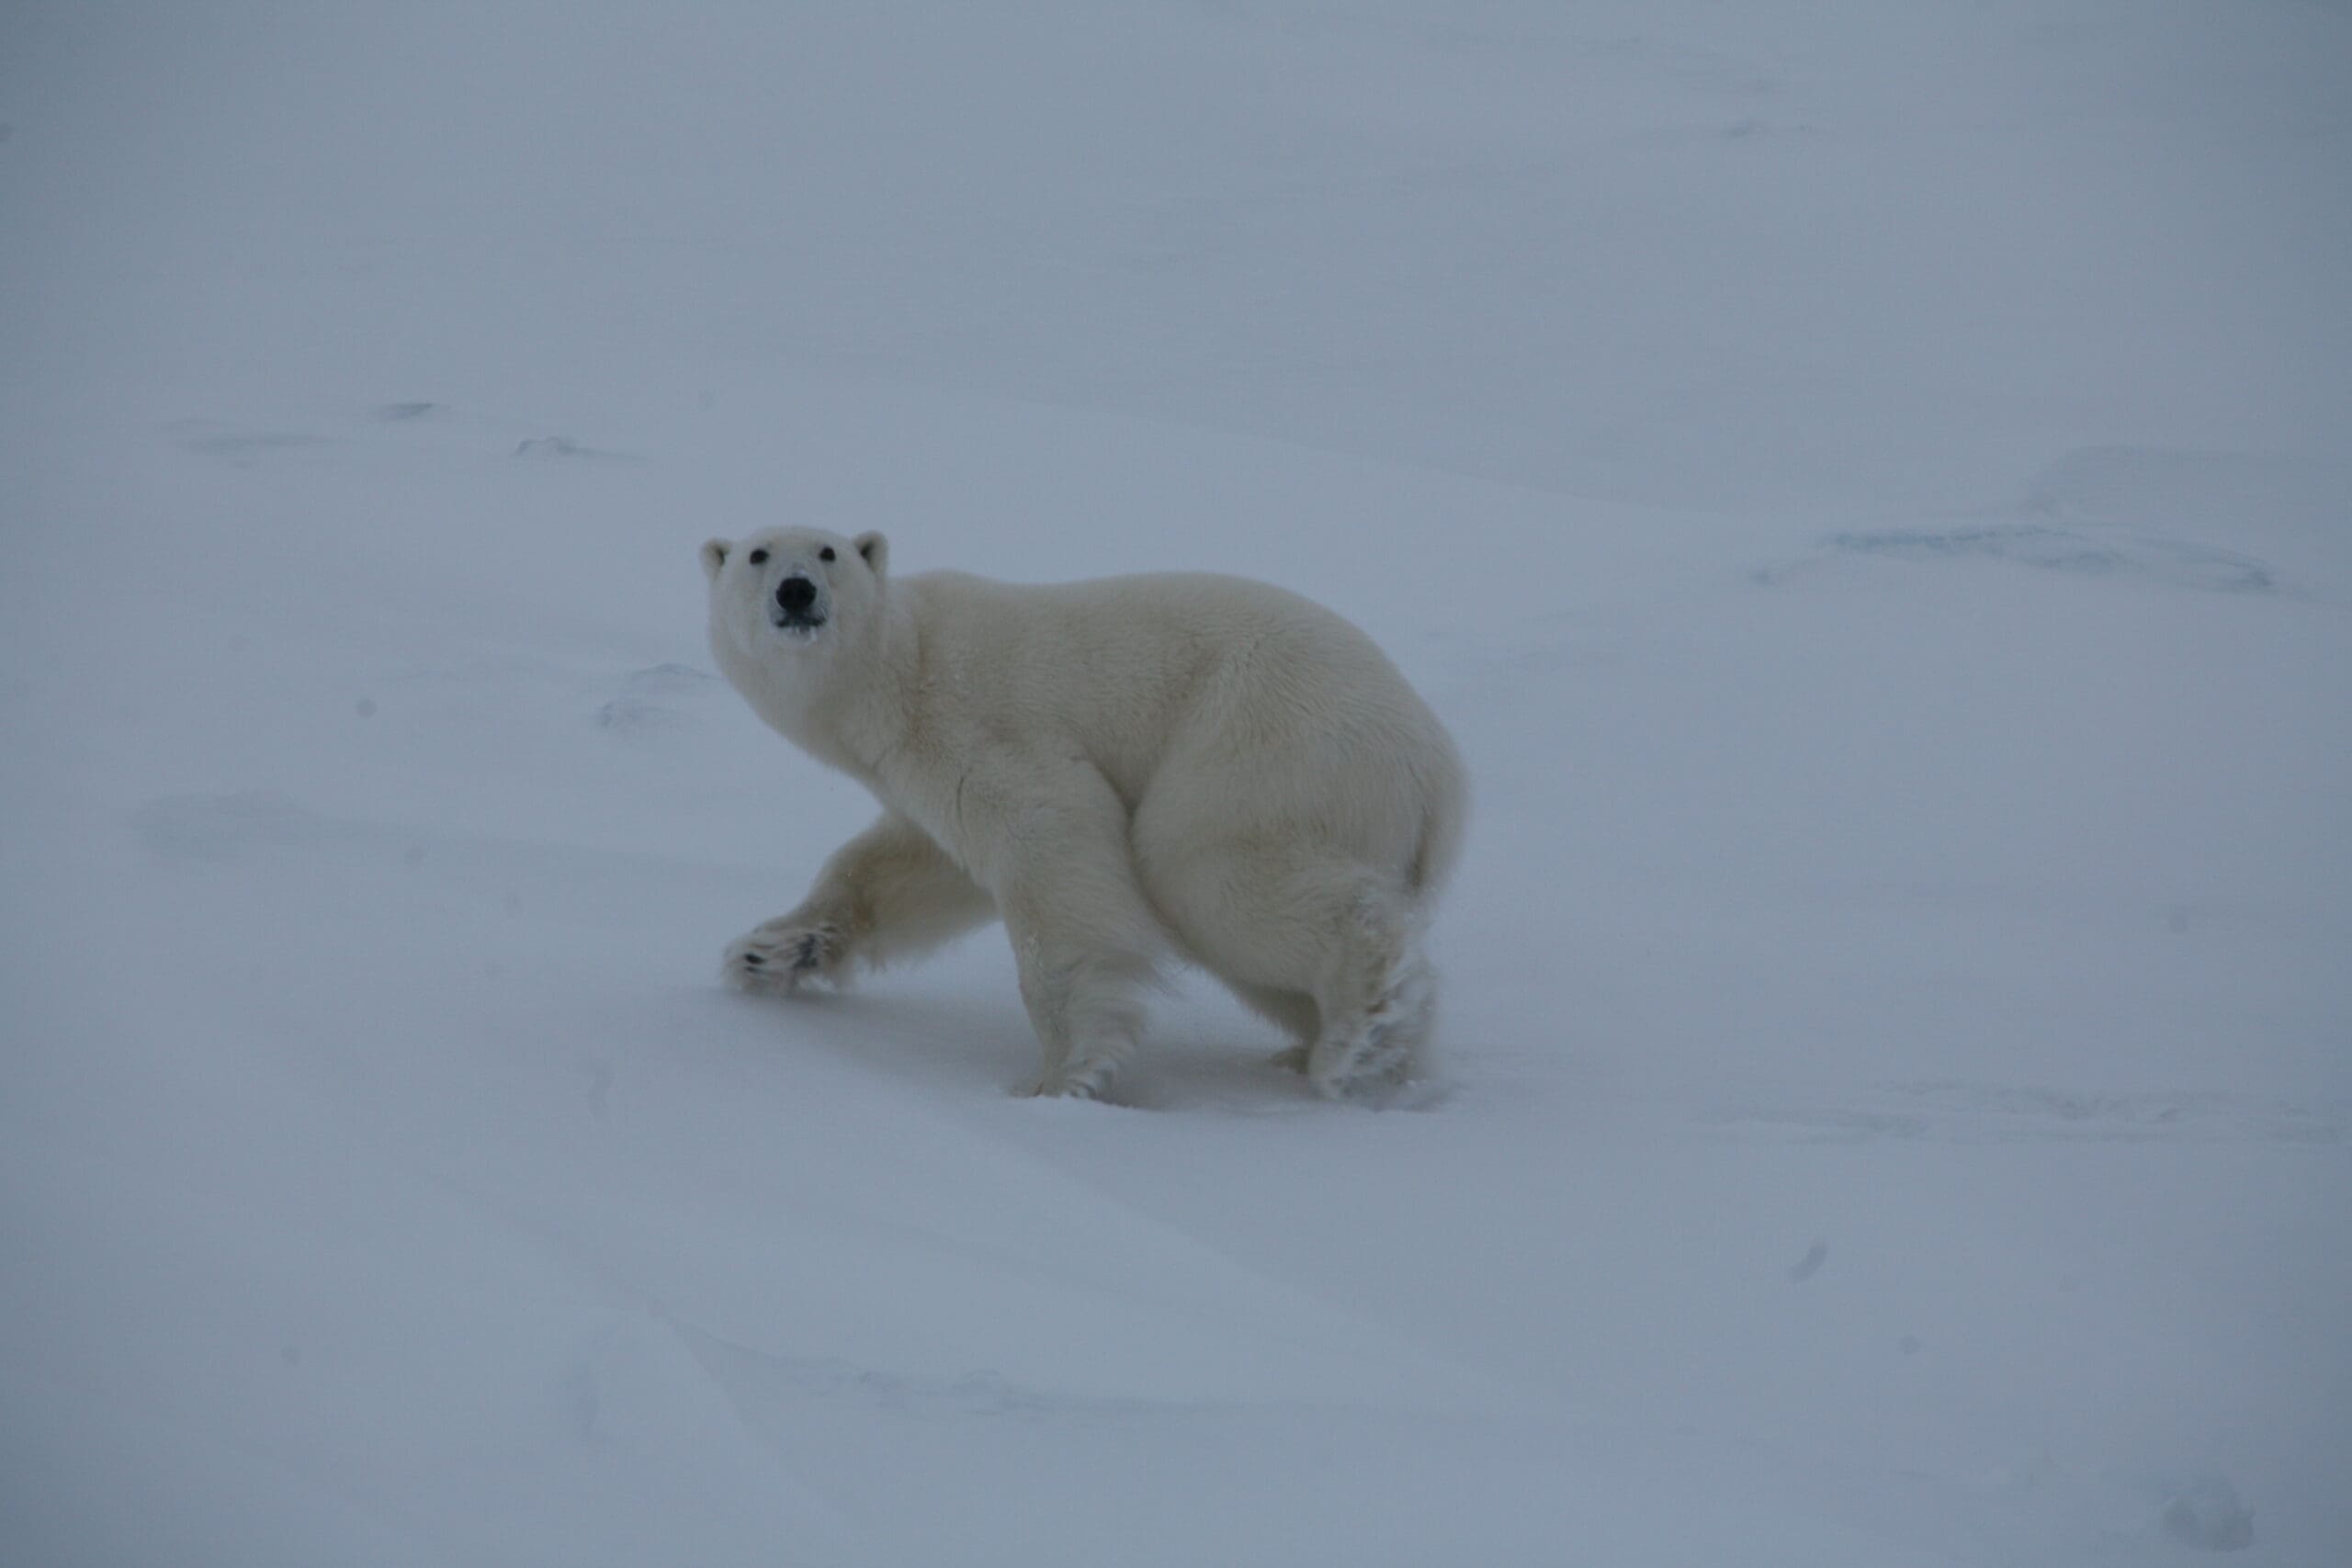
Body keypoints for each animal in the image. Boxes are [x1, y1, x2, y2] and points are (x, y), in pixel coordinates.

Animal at [700, 527, 1466, 1102]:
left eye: (827, 550)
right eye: (757, 554)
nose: (796, 591)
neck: (901, 665)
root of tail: (1440, 774)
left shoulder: (969, 719)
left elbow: (1048, 832)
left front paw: (1063, 1075)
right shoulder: (909, 773)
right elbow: (910, 867)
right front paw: (770, 951)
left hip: (1268, 739)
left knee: (1197, 868)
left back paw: (1355, 1037)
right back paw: (1364, 1051)